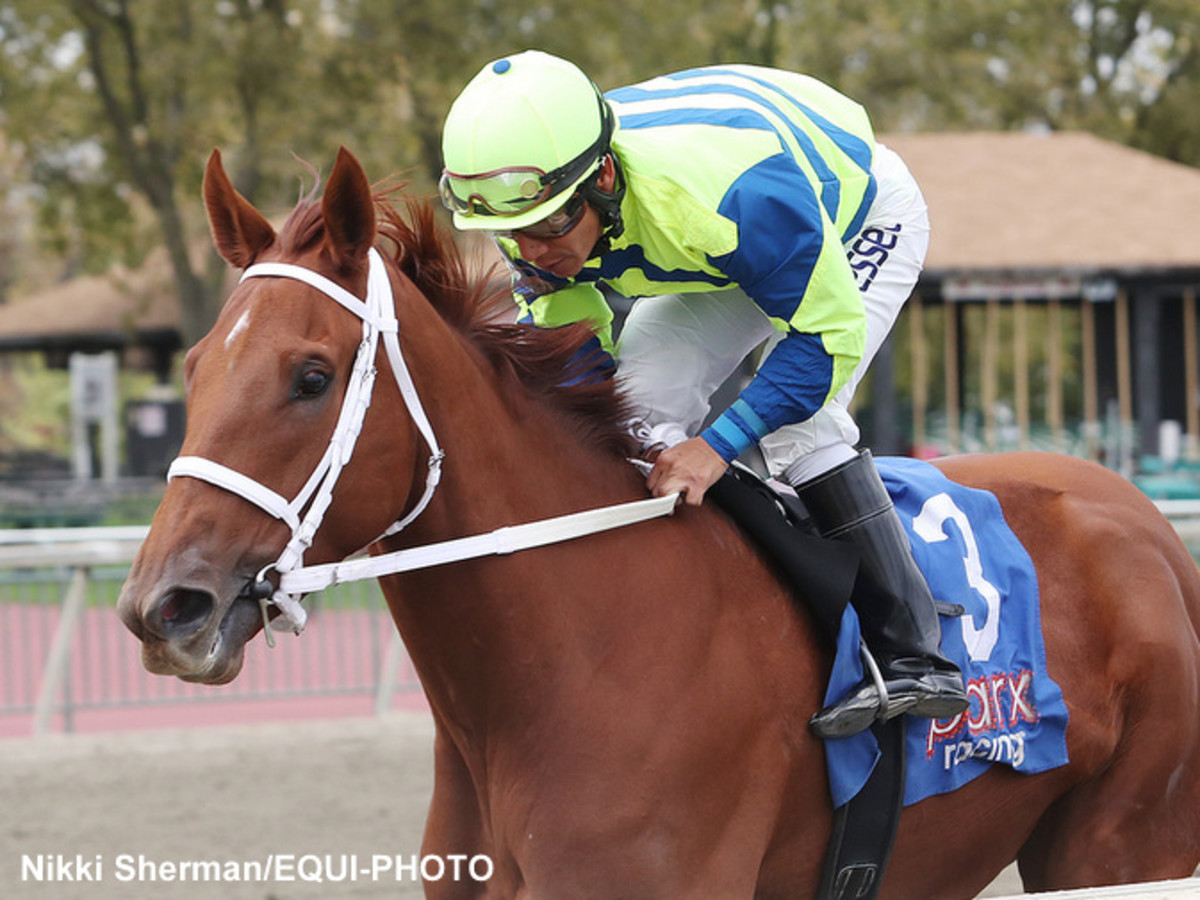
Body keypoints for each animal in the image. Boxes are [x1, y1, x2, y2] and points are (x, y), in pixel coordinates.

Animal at [114, 150, 1200, 900]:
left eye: (310, 376)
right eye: (195, 366)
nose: (164, 608)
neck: (573, 662)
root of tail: (1150, 526)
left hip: (1121, 847)